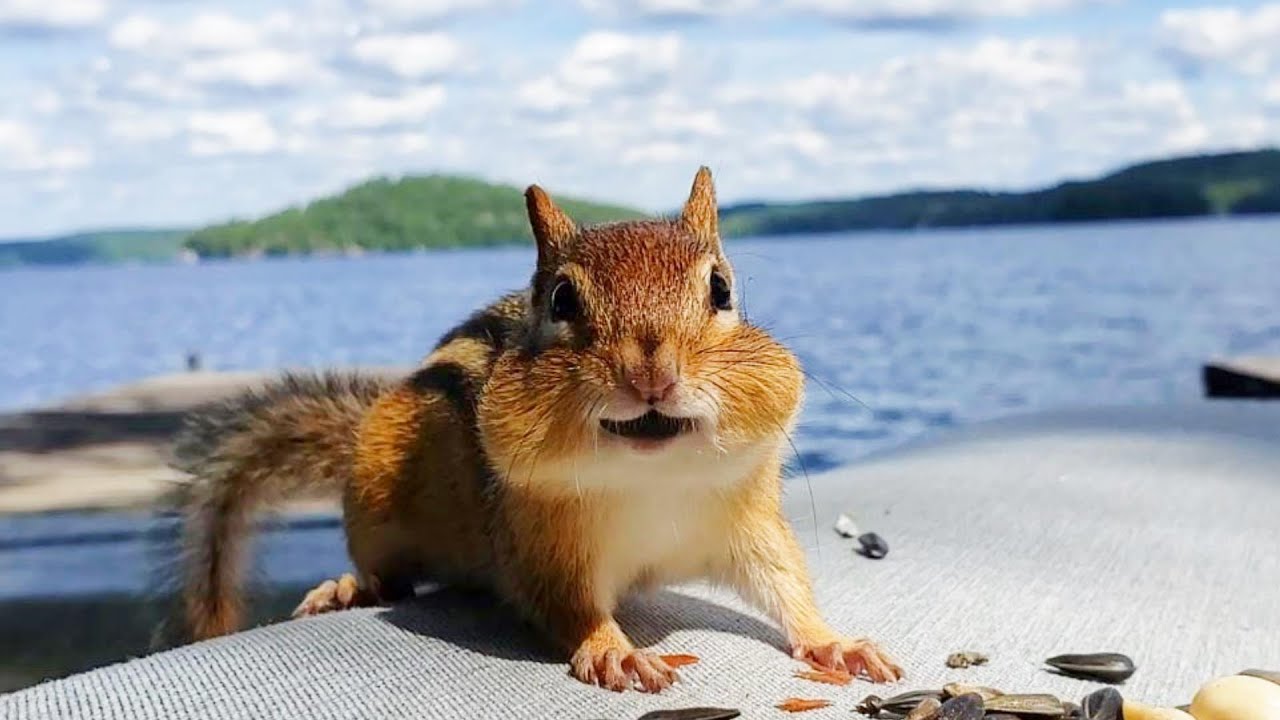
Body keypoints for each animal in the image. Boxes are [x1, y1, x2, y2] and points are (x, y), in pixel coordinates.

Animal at [172, 167, 902, 693]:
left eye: (721, 289)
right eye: (561, 299)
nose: (651, 373)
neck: (655, 479)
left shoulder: (748, 526)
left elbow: (788, 584)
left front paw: (834, 641)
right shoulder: (544, 547)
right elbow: (568, 605)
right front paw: (613, 651)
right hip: (376, 501)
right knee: (385, 571)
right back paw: (352, 587)